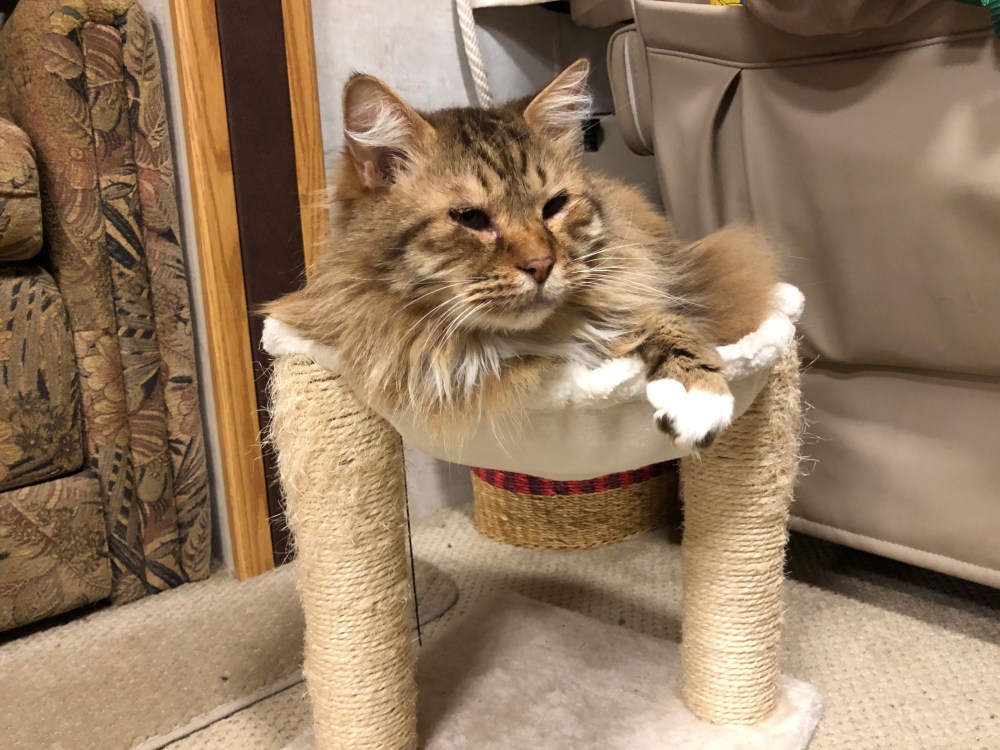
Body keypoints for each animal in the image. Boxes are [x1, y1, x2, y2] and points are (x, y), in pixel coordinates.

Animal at [265, 60, 779, 450]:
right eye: (470, 218)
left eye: (554, 206)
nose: (541, 265)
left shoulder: (639, 290)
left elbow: (667, 321)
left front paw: (697, 394)